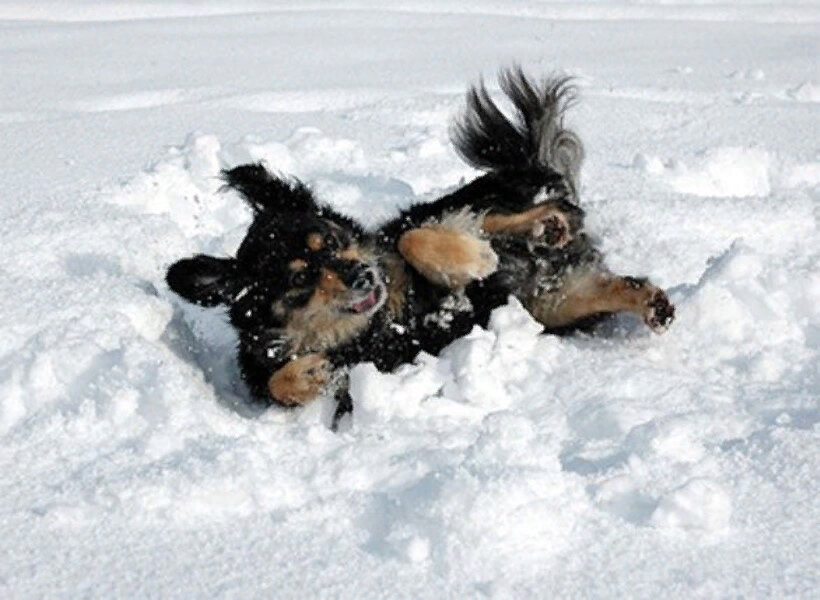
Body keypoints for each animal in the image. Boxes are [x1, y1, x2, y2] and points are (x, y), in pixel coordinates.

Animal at [165, 67, 672, 412]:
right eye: (298, 281)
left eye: (328, 240)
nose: (361, 275)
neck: (376, 323)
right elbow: (276, 382)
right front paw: (310, 373)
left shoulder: (404, 239)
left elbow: (412, 239)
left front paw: (472, 261)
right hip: (552, 304)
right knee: (610, 284)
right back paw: (651, 303)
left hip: (469, 208)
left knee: (510, 215)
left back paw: (544, 225)